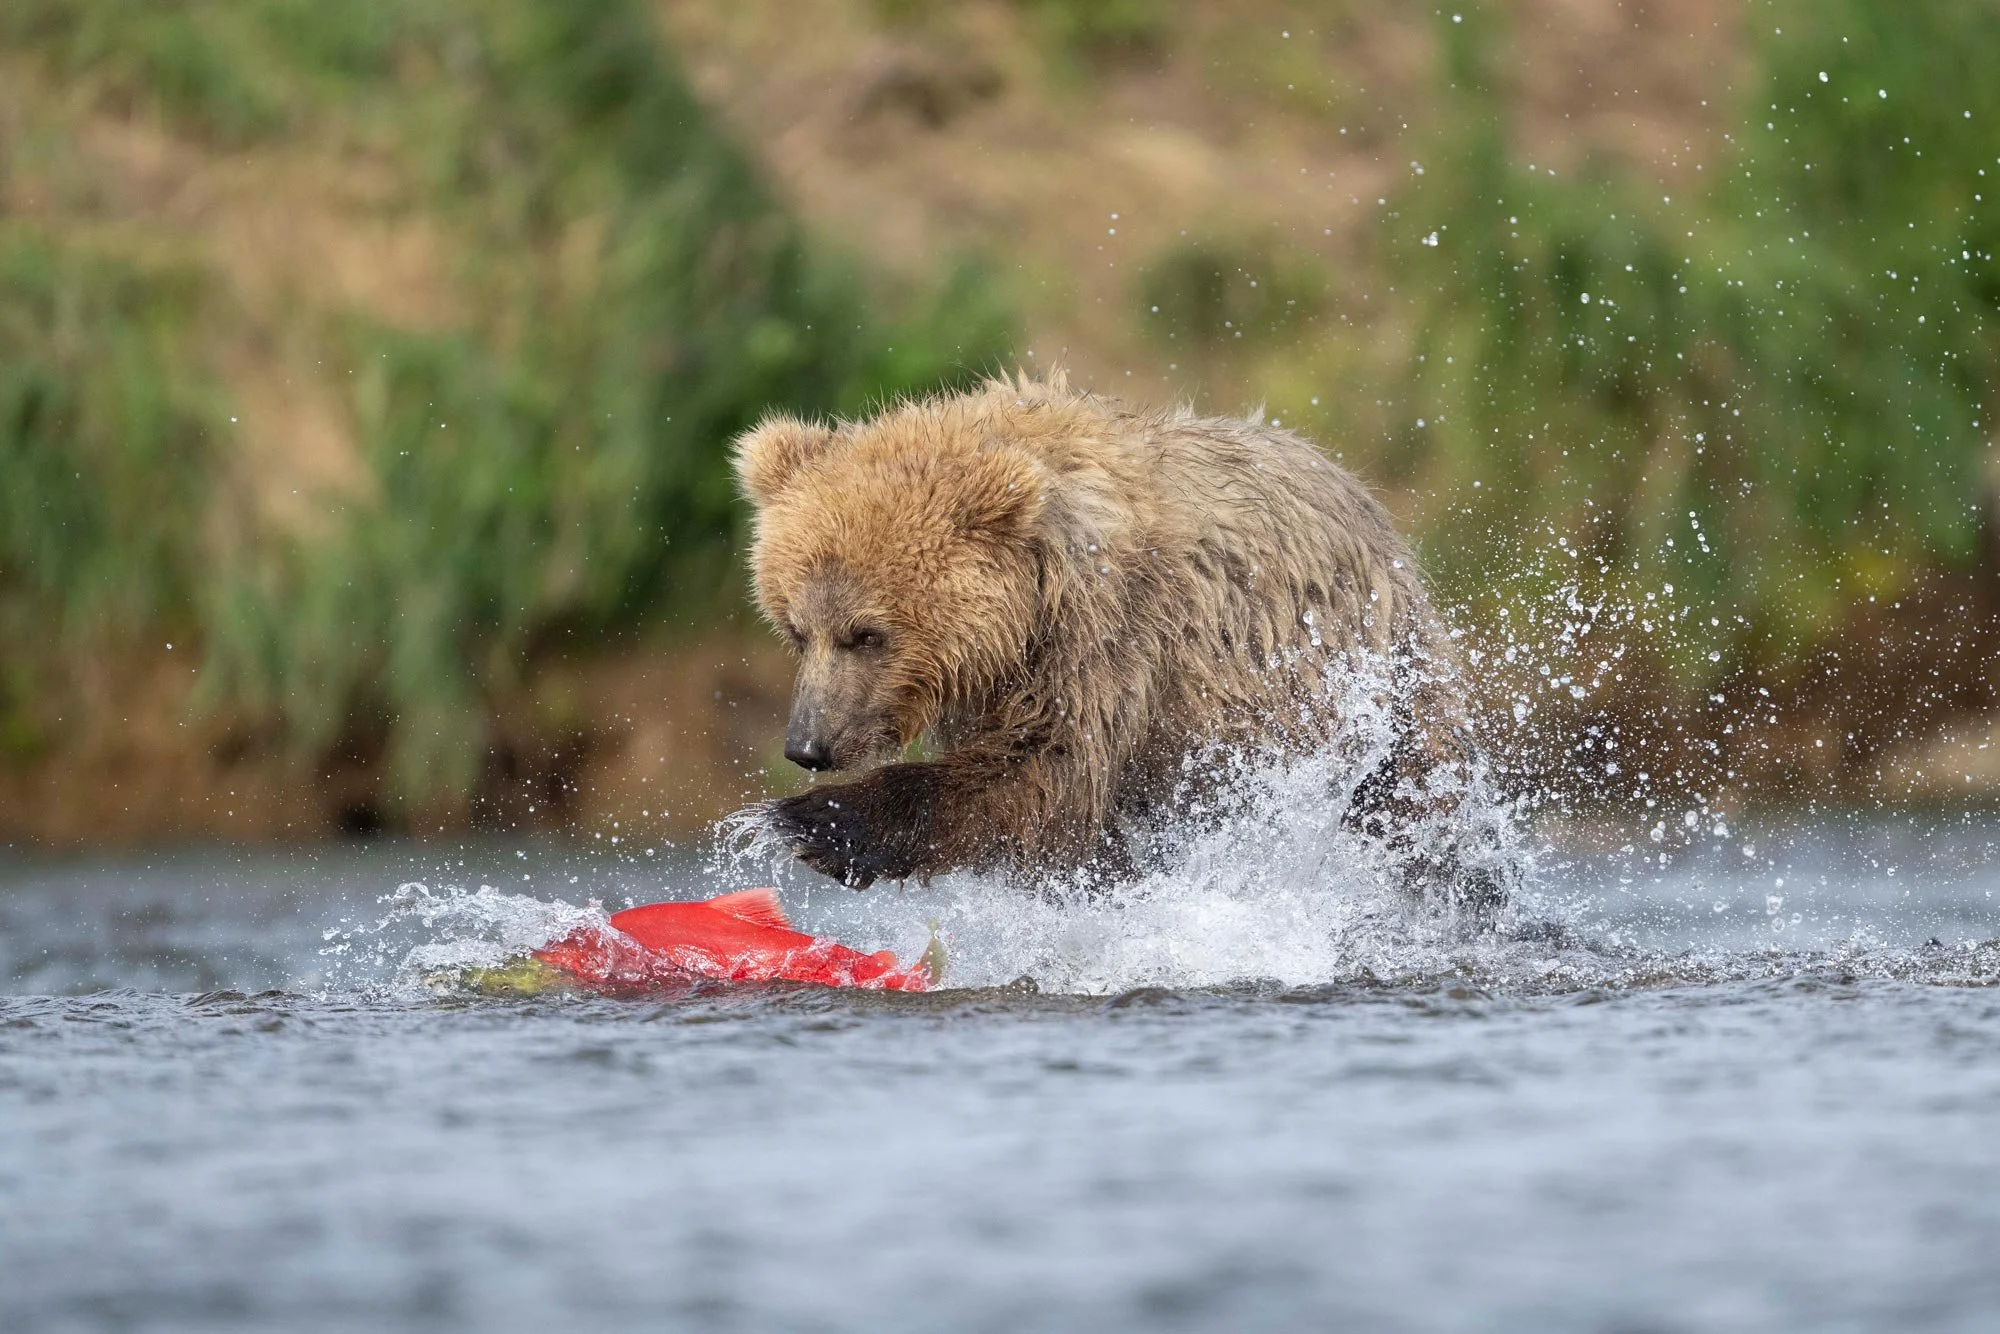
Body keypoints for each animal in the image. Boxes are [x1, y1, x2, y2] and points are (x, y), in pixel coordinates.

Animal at [732, 371, 1500, 906]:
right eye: (796, 628)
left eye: (867, 634)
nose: (808, 746)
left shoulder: (1114, 636)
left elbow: (1051, 773)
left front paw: (816, 823)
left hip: (1372, 680)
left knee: (1415, 813)